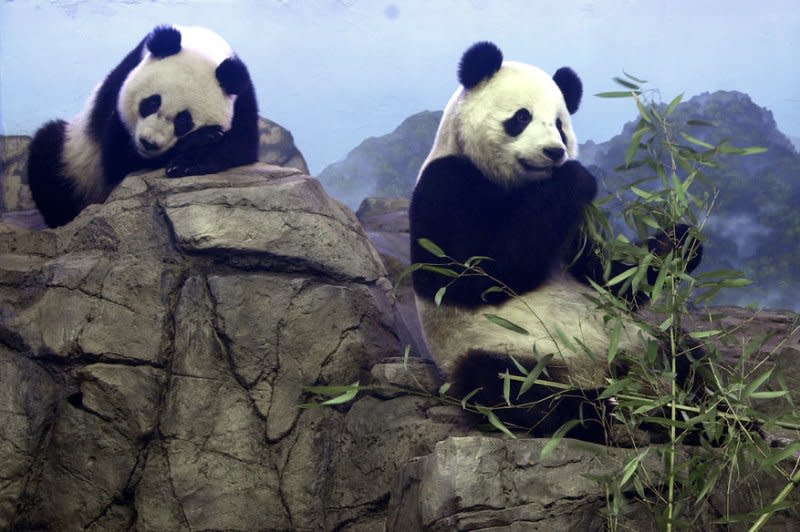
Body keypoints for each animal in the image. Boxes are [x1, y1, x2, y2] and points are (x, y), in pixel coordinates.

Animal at [27, 23, 260, 228]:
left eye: (183, 121)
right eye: (151, 103)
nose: (149, 143)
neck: (203, 45)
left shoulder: (243, 99)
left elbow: (241, 145)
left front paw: (191, 159)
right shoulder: (117, 91)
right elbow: (117, 162)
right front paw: (202, 139)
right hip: (76, 161)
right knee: (48, 155)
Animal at [410, 41, 704, 442]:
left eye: (561, 126)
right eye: (522, 117)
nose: (554, 152)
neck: (522, 186)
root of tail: (603, 373)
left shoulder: (575, 227)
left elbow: (608, 277)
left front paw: (680, 243)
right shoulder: (446, 183)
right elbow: (469, 275)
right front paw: (576, 177)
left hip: (640, 342)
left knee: (686, 355)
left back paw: (700, 417)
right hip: (504, 347)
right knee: (508, 386)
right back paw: (599, 413)